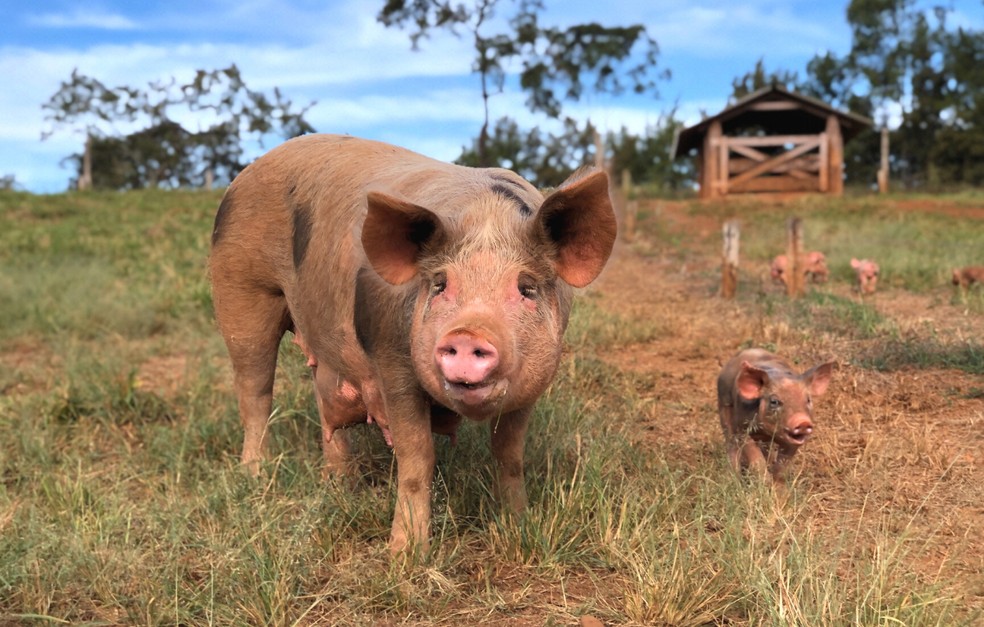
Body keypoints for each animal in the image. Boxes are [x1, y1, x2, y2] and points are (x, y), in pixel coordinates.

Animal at [209, 134, 616, 556]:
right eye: (439, 284)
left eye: (527, 288)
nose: (467, 333)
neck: (487, 217)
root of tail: (245, 174)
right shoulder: (392, 363)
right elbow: (417, 455)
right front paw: (404, 555)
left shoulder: (531, 385)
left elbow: (509, 453)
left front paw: (517, 523)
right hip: (240, 291)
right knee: (255, 393)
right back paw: (254, 477)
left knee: (323, 403)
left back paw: (340, 486)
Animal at [716, 348, 836, 480]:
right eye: (774, 401)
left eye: (808, 400)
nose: (802, 421)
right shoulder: (742, 427)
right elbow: (755, 458)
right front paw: (766, 482)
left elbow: (783, 467)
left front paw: (777, 484)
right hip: (724, 405)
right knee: (731, 443)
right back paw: (733, 476)